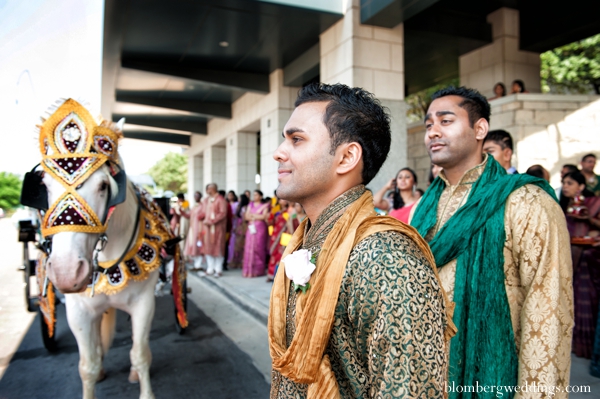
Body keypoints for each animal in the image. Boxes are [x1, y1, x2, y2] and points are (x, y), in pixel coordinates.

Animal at [43, 166, 158, 399]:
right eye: (46, 185)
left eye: (103, 185)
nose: (66, 272)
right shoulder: (78, 311)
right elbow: (88, 366)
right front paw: (94, 373)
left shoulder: (144, 303)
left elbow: (139, 354)